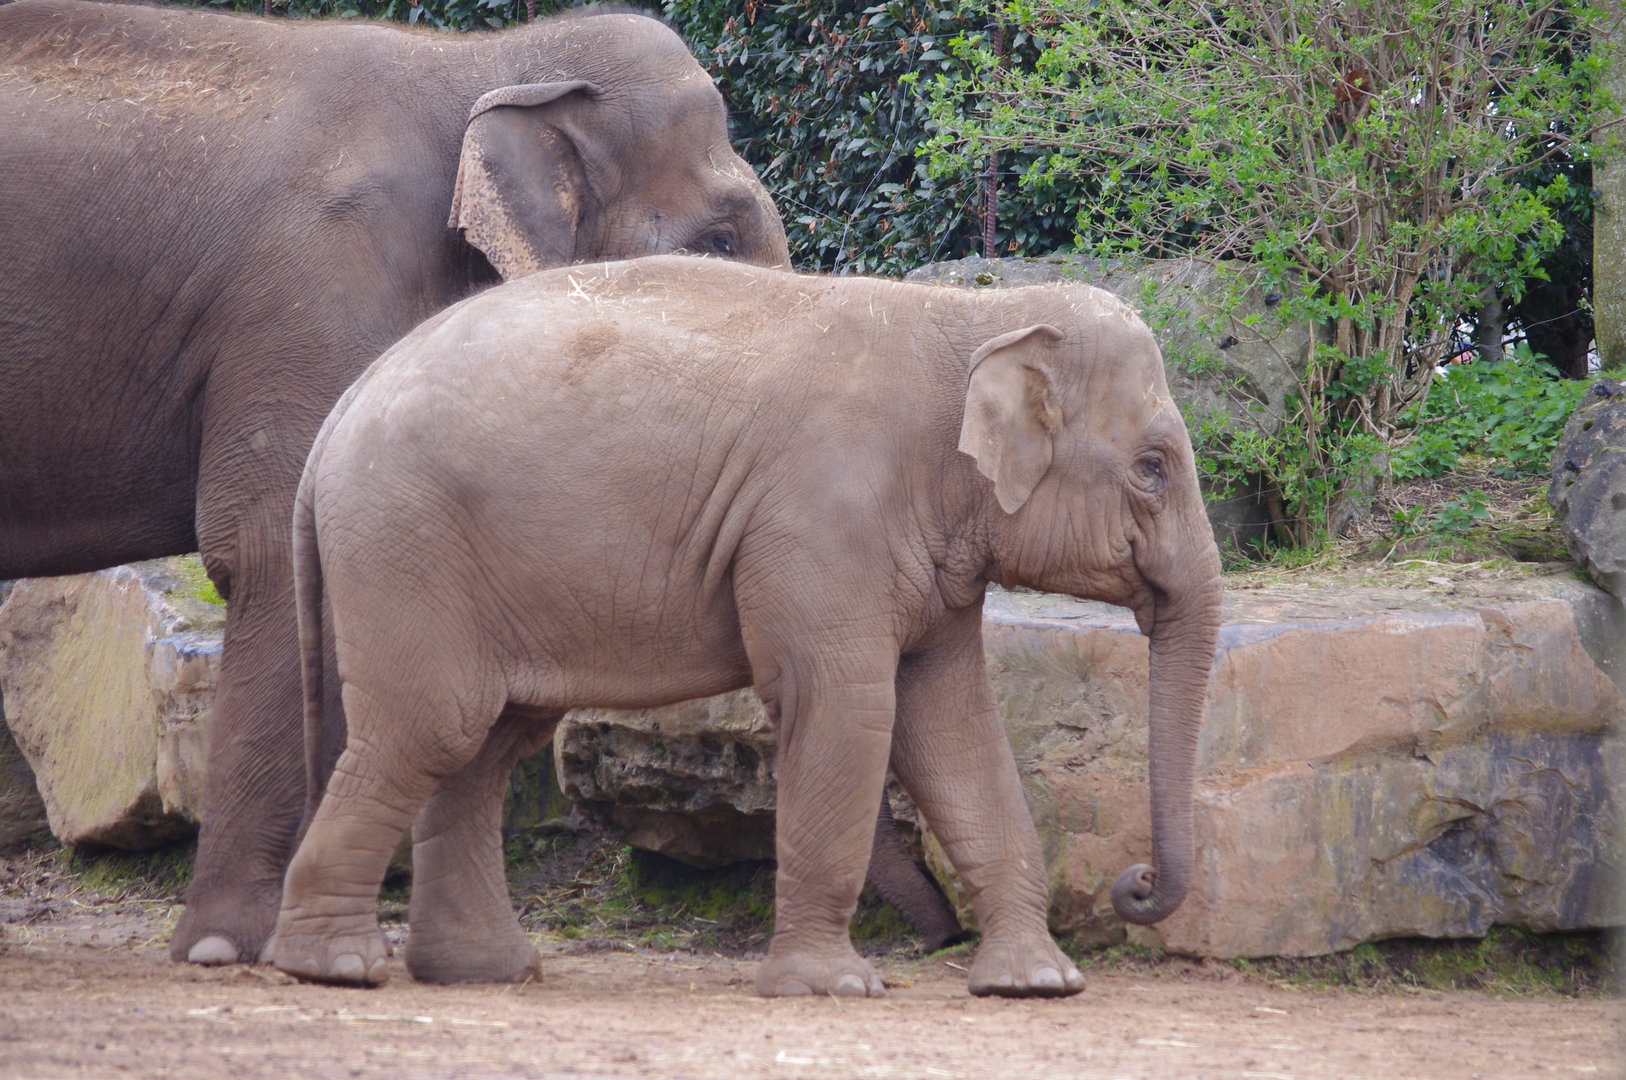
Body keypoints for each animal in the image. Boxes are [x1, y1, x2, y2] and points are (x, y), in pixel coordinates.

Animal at [271, 255, 1223, 997]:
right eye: (1153, 468)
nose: (1136, 883)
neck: (974, 318)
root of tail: (336, 416)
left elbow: (952, 726)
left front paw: (1037, 984)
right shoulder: (823, 520)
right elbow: (844, 704)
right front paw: (834, 988)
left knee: (490, 741)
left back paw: (483, 972)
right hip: (405, 546)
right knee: (434, 727)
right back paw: (335, 967)